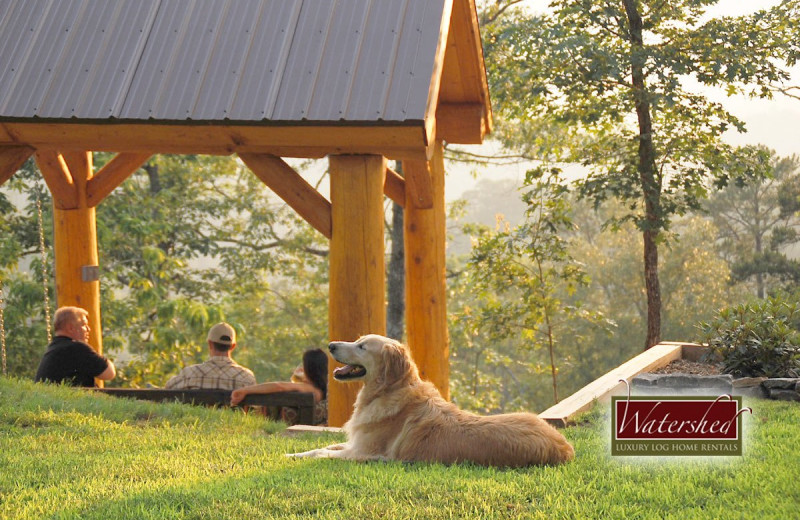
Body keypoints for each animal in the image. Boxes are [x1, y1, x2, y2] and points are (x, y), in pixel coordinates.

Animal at [290, 336, 576, 470]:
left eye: (361, 346)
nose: (331, 345)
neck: (388, 390)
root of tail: (564, 448)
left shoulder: (366, 453)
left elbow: (321, 453)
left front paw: (292, 455)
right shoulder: (355, 444)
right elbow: (327, 445)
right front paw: (295, 453)